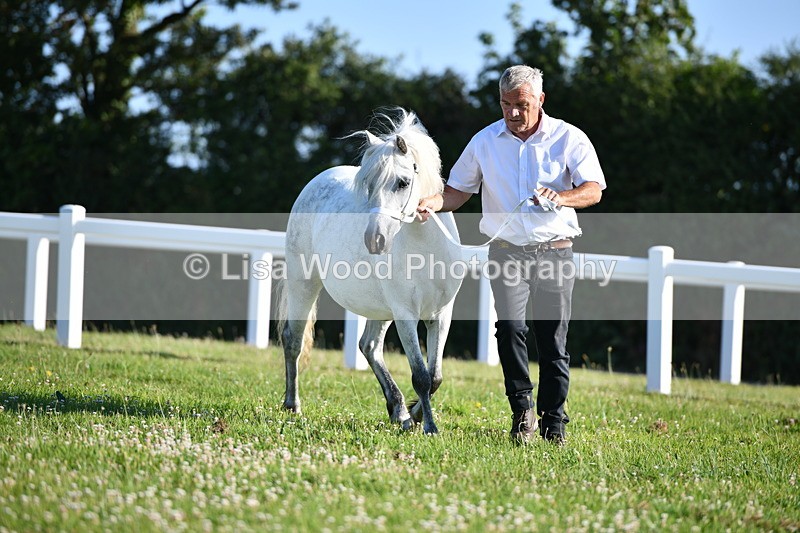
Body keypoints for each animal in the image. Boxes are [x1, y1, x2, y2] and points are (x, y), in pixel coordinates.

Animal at [278, 108, 463, 434]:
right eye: (370, 185)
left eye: (403, 182)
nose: (375, 239)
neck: (426, 250)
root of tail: (316, 182)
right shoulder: (405, 315)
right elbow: (421, 376)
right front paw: (428, 426)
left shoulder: (441, 315)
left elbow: (435, 376)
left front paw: (414, 416)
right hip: (304, 283)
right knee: (293, 340)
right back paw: (293, 404)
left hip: (379, 309)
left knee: (369, 346)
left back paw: (398, 410)